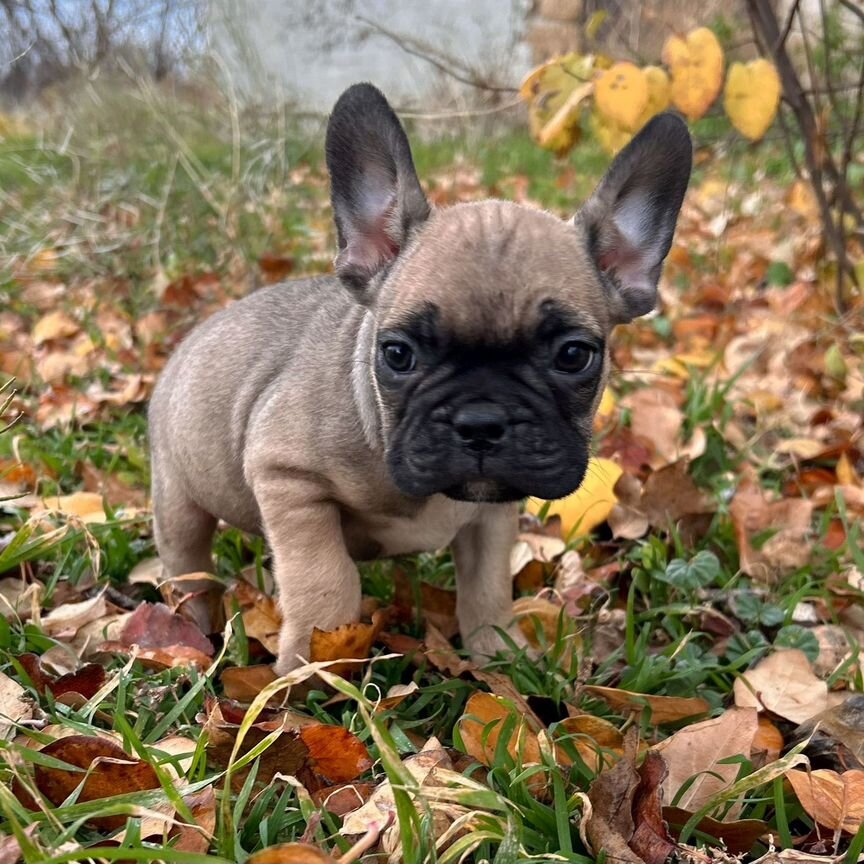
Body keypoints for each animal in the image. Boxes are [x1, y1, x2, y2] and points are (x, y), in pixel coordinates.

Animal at [145, 81, 692, 676]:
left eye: (574, 356)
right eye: (398, 354)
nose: (481, 420)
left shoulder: (491, 519)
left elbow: (487, 589)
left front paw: (499, 658)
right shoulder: (288, 479)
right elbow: (326, 583)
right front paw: (309, 673)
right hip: (178, 500)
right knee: (189, 567)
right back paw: (192, 630)